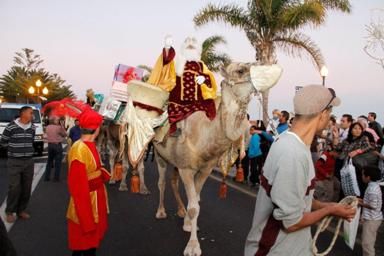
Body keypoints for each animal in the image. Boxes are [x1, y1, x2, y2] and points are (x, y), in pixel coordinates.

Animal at [153, 62, 258, 256]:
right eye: (240, 70)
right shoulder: (187, 168)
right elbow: (194, 207)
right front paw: (193, 247)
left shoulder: (205, 170)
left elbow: (196, 200)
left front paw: (188, 225)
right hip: (159, 155)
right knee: (161, 182)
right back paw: (161, 212)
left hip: (176, 161)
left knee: (173, 181)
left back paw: (180, 211)